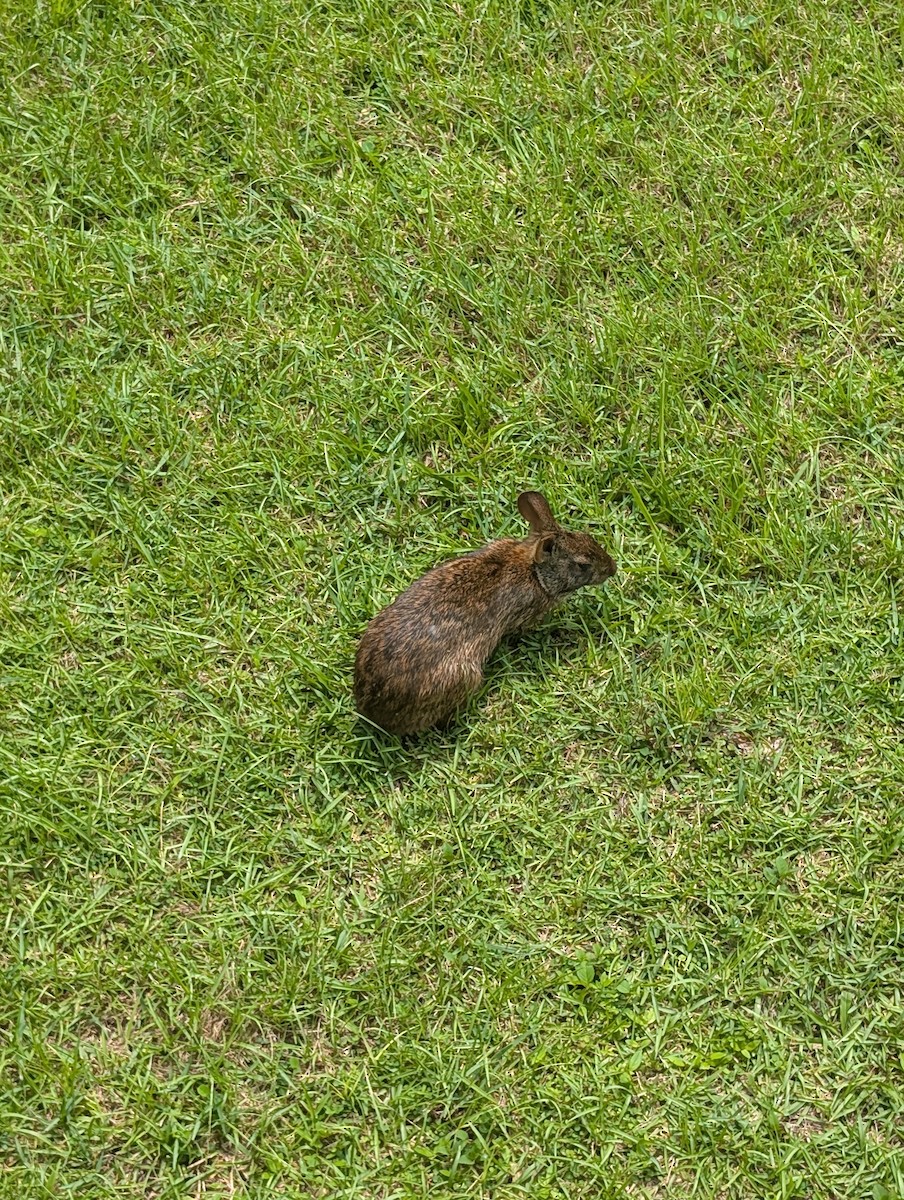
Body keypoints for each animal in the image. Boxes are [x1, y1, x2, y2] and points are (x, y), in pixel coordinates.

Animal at [354, 491, 616, 735]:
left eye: (587, 537)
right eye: (583, 565)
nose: (612, 569)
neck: (533, 570)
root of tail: (373, 709)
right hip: (464, 676)